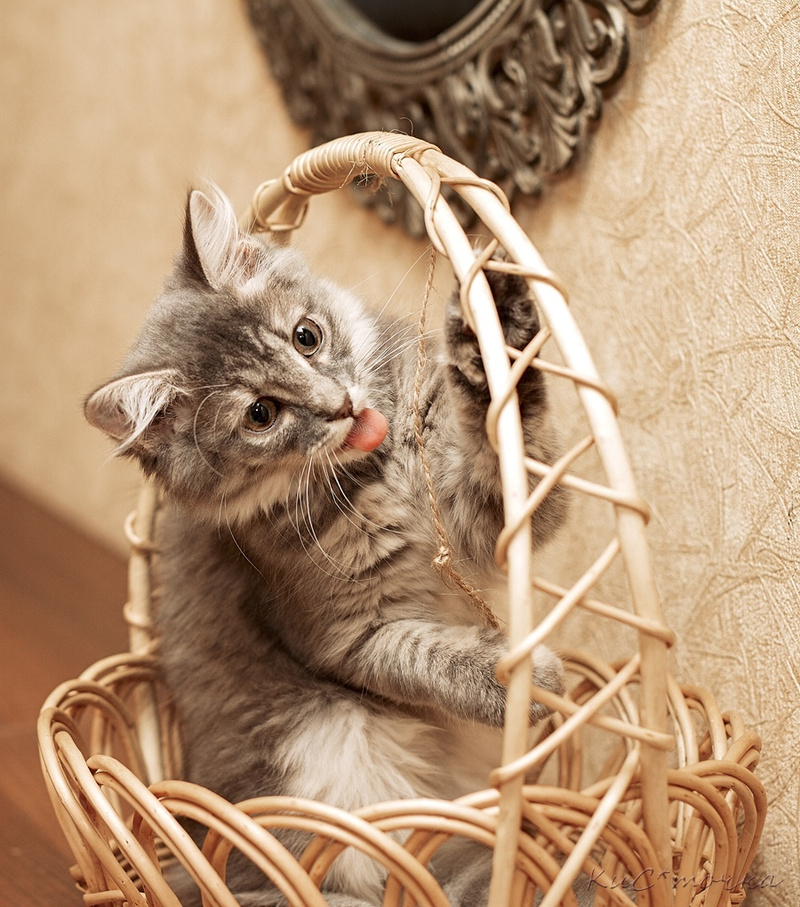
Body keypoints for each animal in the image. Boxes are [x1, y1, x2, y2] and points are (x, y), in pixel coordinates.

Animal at [85, 186, 568, 906]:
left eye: (306, 336)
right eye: (261, 414)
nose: (340, 404)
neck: (376, 470)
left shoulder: (486, 512)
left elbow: (501, 436)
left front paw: (494, 331)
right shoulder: (345, 638)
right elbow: (433, 659)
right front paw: (523, 685)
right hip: (324, 772)